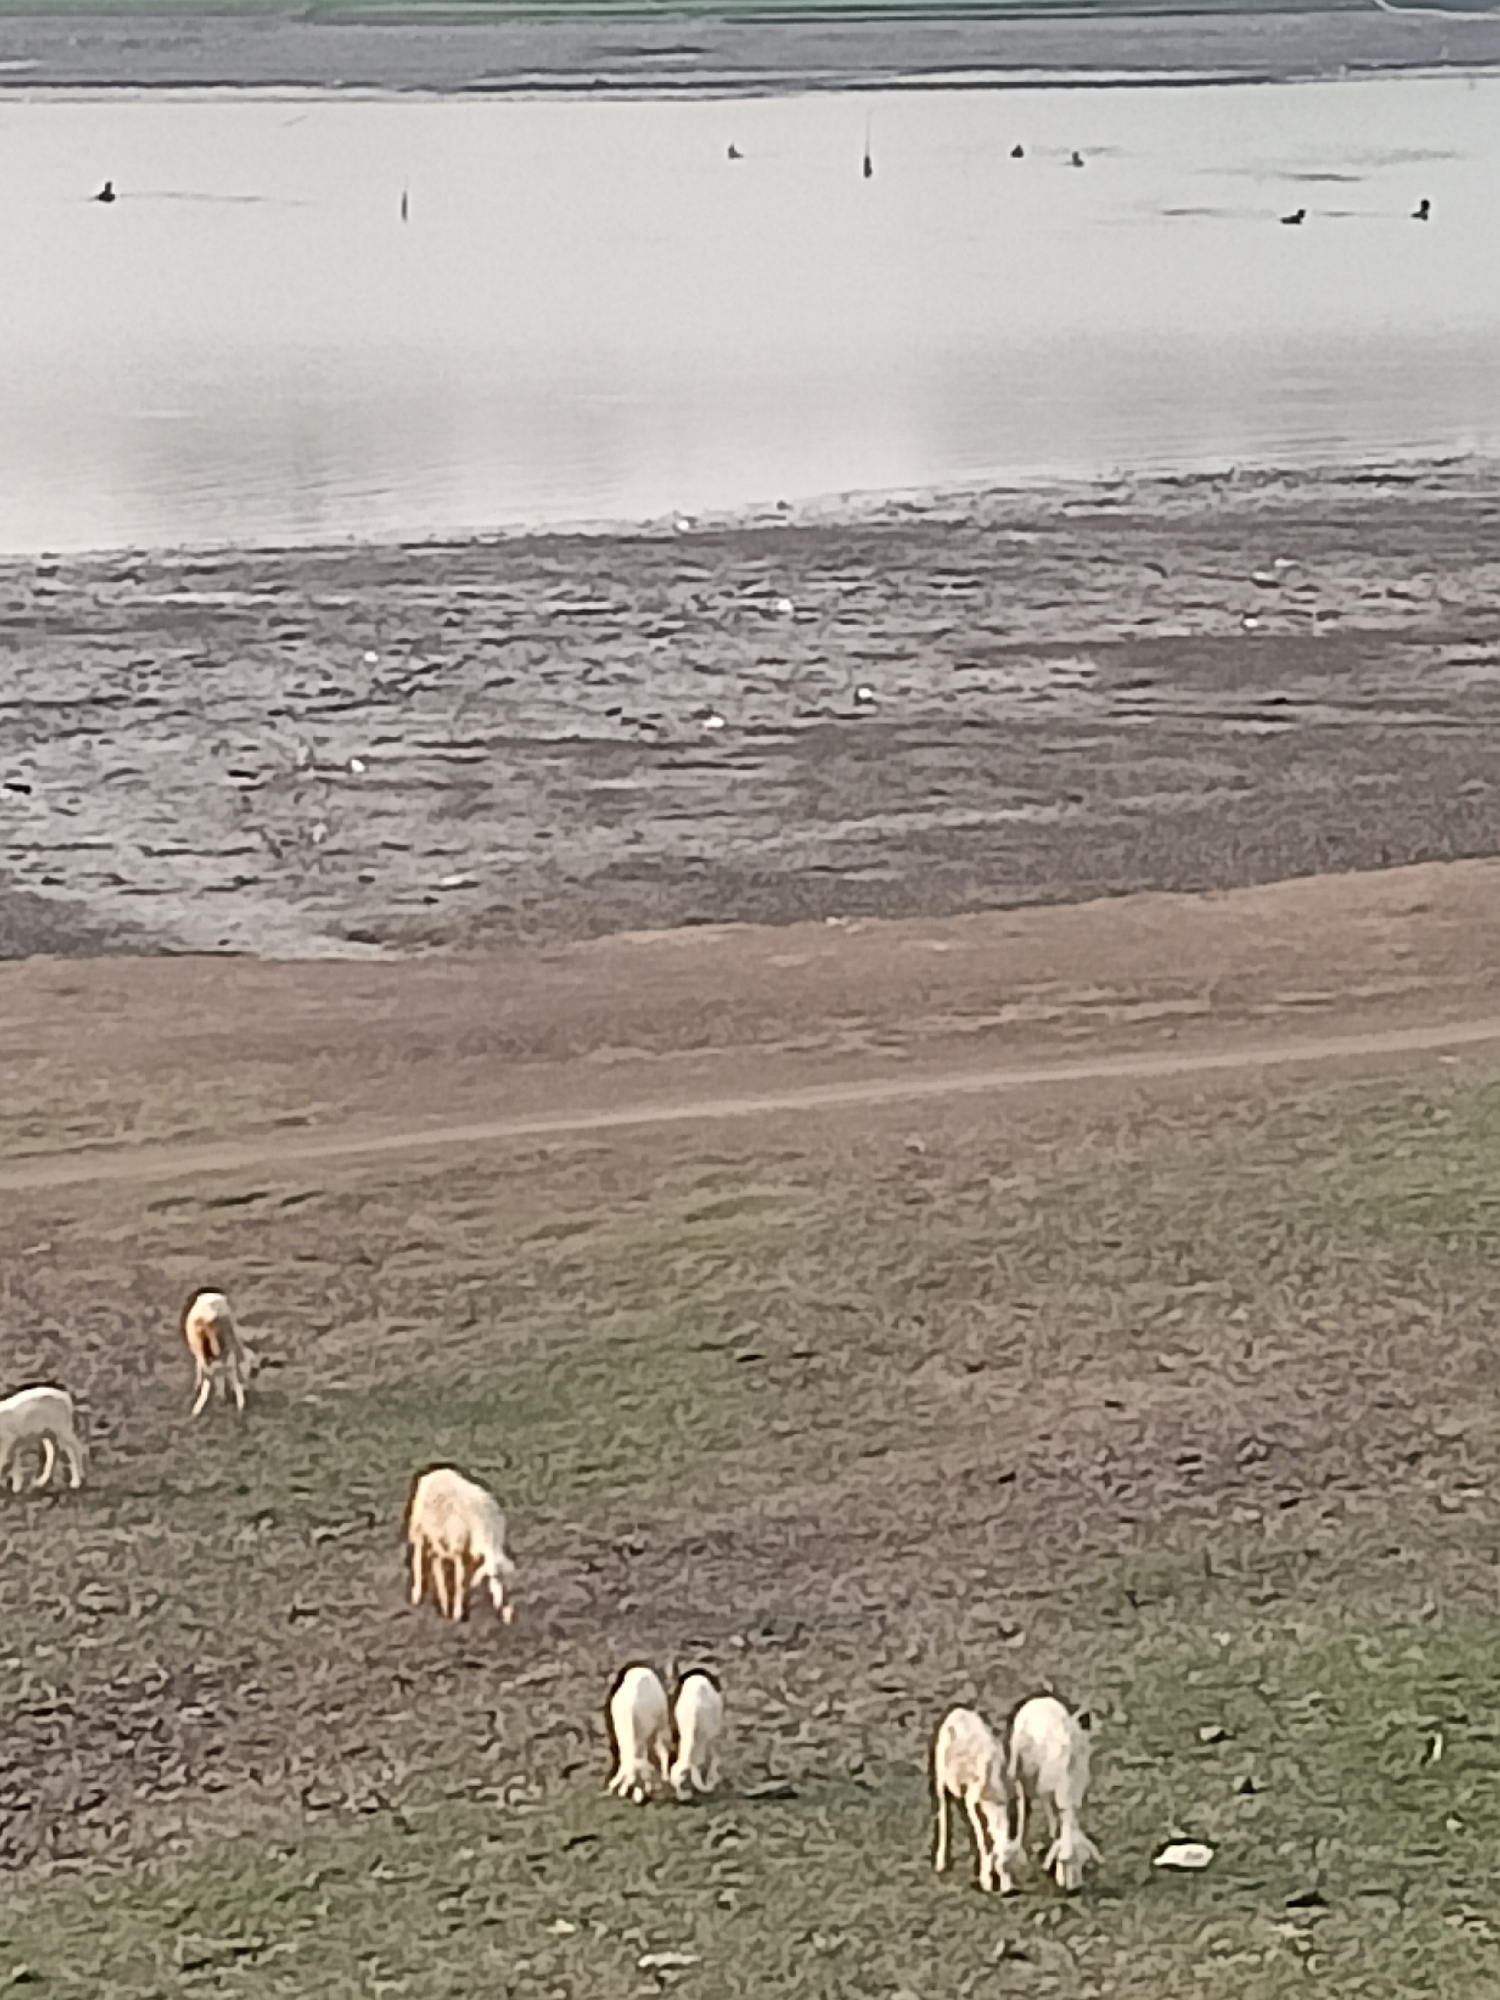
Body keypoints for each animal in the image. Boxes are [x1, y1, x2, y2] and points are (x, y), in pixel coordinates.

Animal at [405, 1465, 516, 1624]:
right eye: (494, 1577)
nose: (508, 1617)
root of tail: (438, 1471)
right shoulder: (458, 1551)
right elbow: (458, 1582)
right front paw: (455, 1614)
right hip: (418, 1527)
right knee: (418, 1555)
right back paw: (418, 1595)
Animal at [931, 1705, 1020, 1893]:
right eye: (1002, 1863)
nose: (1010, 1891)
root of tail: (958, 1711)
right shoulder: (972, 1801)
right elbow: (983, 1838)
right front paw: (986, 1881)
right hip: (940, 1778)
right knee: (943, 1811)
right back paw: (941, 1863)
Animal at [1007, 1694, 1101, 1892]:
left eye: (1083, 1861)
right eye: (1061, 1862)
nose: (1074, 1889)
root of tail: (1039, 1699)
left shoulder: (1076, 1793)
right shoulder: (1044, 1789)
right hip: (1020, 1769)